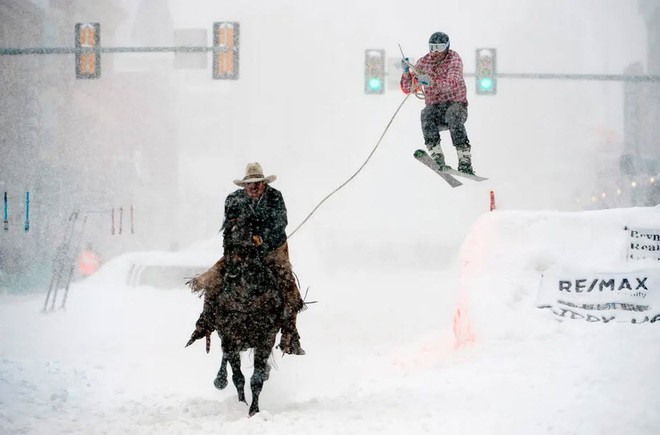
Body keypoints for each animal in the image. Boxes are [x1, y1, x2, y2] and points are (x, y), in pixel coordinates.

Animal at [204, 220, 282, 418]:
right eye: (226, 238)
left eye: (248, 242)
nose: (231, 270)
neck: (246, 298)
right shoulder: (230, 338)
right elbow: (238, 377)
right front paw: (241, 404)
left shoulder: (265, 339)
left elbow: (257, 378)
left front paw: (254, 410)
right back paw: (220, 379)